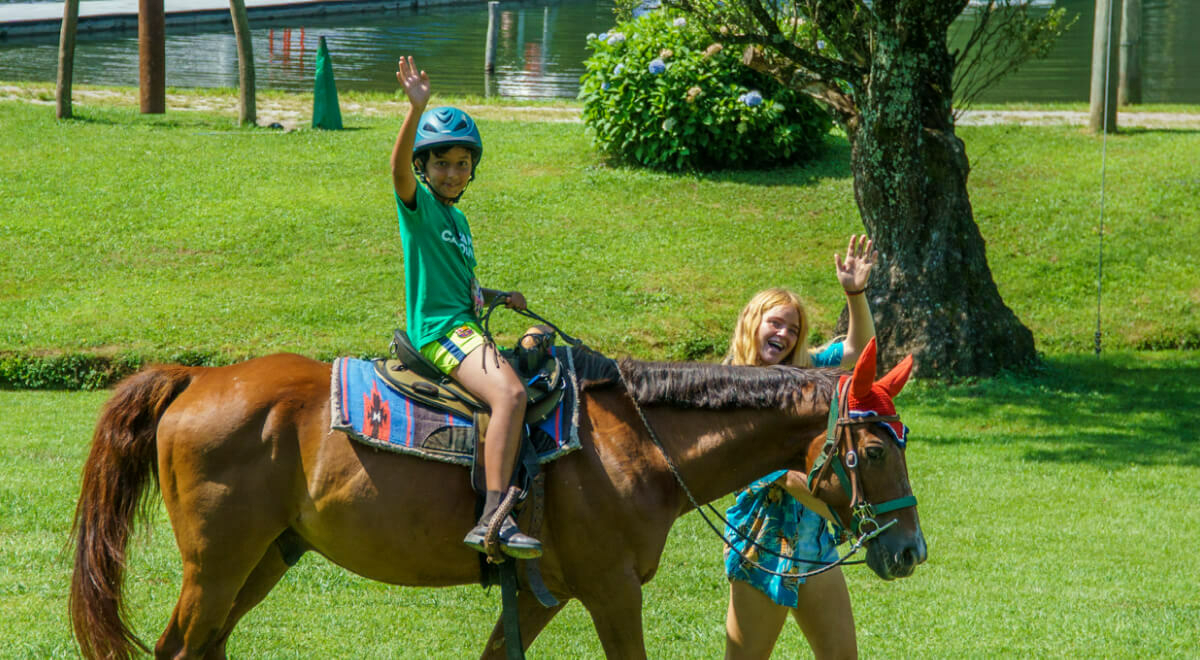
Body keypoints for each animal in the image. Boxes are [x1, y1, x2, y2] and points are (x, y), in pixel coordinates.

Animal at [70, 338, 925, 659]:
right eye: (878, 451)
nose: (910, 549)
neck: (638, 445)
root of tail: (195, 378)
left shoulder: (546, 591)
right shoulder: (612, 590)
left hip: (266, 558)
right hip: (217, 564)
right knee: (178, 650)